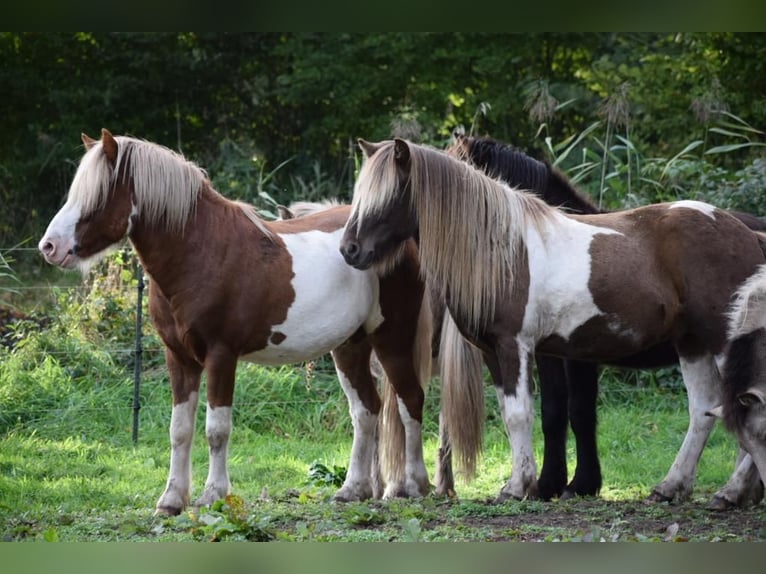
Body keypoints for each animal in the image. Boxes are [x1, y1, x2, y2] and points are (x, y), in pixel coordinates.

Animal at [38, 129, 433, 516]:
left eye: (98, 194)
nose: (49, 247)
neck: (200, 252)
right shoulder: (178, 357)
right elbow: (179, 429)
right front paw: (171, 500)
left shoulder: (221, 355)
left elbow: (217, 429)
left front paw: (213, 495)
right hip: (351, 345)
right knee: (366, 411)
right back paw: (353, 491)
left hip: (393, 339)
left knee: (409, 401)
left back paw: (415, 486)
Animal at [339, 138, 766, 505]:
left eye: (389, 194)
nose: (349, 250)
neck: (502, 249)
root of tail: (747, 234)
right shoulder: (498, 353)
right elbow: (517, 415)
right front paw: (528, 483)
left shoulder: (518, 346)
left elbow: (525, 414)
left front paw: (522, 486)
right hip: (692, 343)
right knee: (704, 410)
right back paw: (672, 486)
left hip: (725, 343)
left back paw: (730, 492)